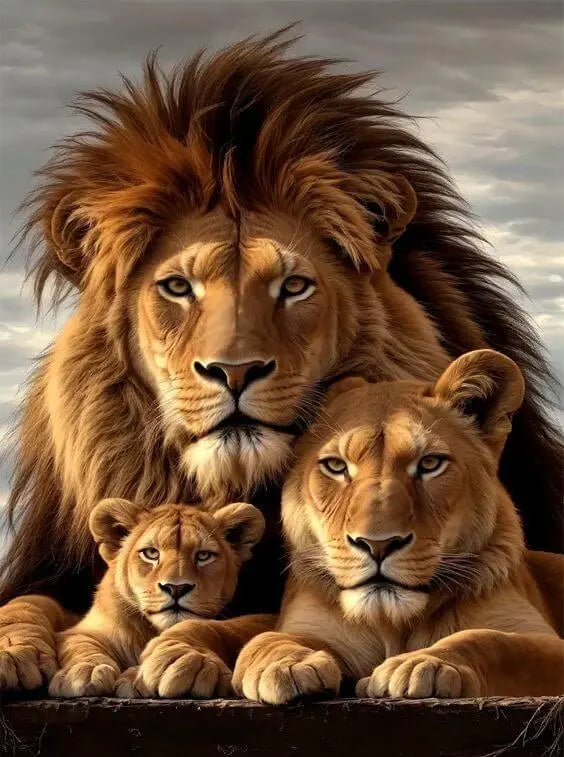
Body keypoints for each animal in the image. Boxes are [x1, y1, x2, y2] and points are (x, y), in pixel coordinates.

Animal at [49, 498, 273, 697]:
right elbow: (81, 643)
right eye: (151, 553)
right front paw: (83, 671)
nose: (176, 587)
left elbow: (210, 627)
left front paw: (190, 661)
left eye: (203, 556)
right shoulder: (86, 629)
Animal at [232, 350, 564, 703]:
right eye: (335, 465)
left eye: (430, 463)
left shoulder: (540, 639)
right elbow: (264, 639)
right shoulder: (310, 625)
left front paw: (422, 664)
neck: (392, 624)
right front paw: (288, 664)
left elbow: (492, 641)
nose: (378, 544)